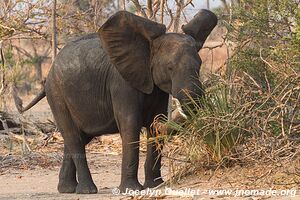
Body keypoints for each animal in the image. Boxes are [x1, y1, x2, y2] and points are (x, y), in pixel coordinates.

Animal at [14, 9, 217, 194]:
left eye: (200, 66)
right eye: (170, 67)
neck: (147, 46)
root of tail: (49, 74)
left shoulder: (157, 89)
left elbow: (155, 125)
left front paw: (155, 185)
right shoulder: (121, 84)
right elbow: (130, 125)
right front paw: (131, 189)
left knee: (78, 137)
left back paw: (67, 189)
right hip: (57, 94)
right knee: (73, 136)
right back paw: (87, 190)